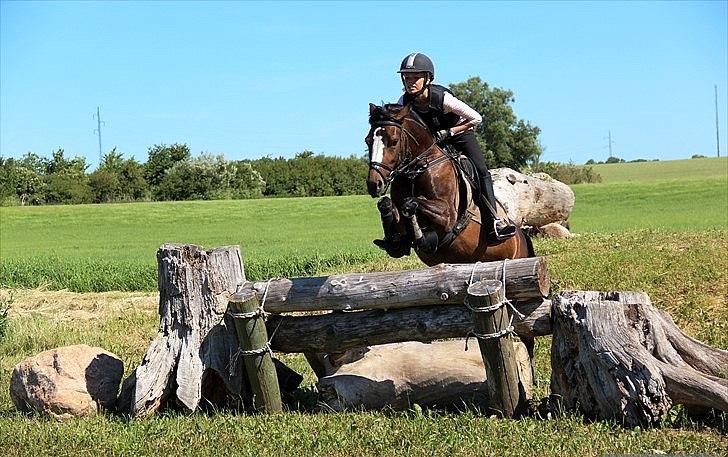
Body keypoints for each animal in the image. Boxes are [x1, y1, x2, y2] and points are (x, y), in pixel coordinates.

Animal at [365, 103, 535, 265]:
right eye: (368, 141)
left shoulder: (448, 216)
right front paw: (395, 242)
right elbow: (386, 204)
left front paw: (423, 238)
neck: (417, 170)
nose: (374, 184)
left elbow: (411, 203)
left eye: (394, 142)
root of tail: (521, 235)